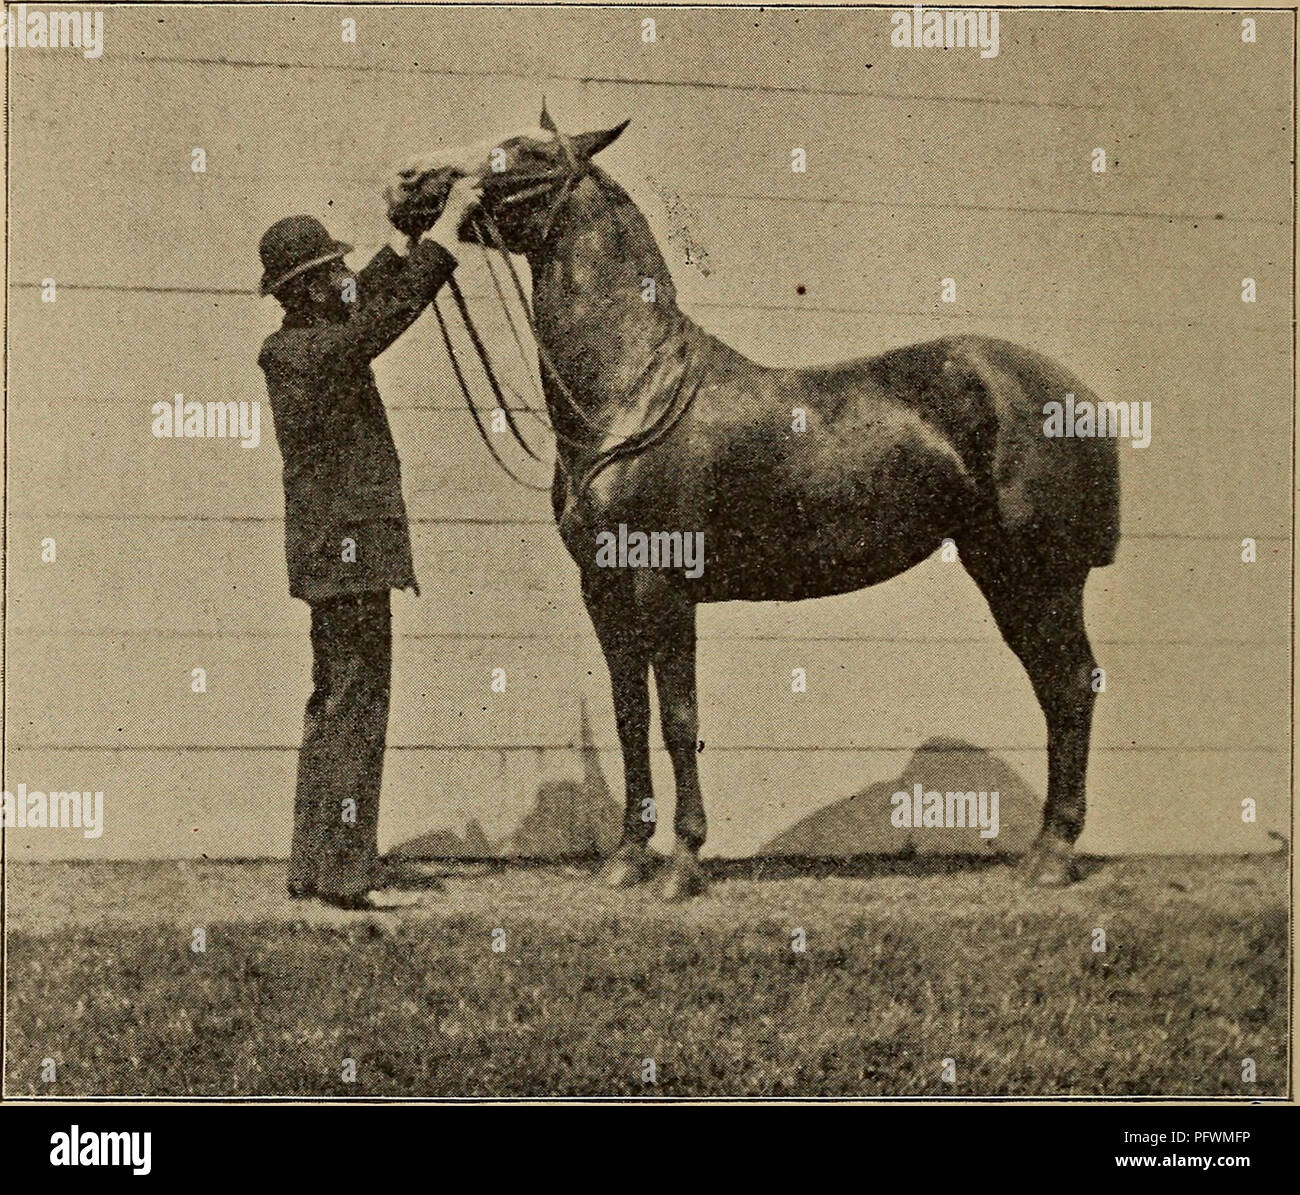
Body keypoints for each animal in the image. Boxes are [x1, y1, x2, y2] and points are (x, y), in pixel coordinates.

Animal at [388, 110, 1119, 900]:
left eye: (525, 152)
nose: (405, 181)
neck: (632, 393)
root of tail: (1076, 392)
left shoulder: (663, 586)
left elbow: (679, 719)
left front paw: (682, 864)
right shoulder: (603, 589)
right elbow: (629, 715)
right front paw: (627, 858)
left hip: (1041, 576)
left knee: (1070, 688)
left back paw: (1053, 855)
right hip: (1005, 574)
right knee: (1056, 689)